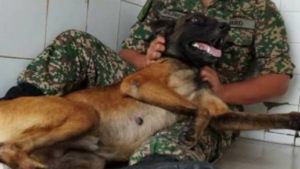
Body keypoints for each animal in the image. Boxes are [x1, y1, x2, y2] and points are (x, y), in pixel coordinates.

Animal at [0, 13, 300, 169]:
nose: (226, 27)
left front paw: (293, 119)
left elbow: (265, 118)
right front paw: (192, 130)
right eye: (196, 20)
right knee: (10, 148)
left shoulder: (222, 115)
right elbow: (198, 109)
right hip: (83, 114)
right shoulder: (139, 83)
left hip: (88, 160)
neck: (188, 65)